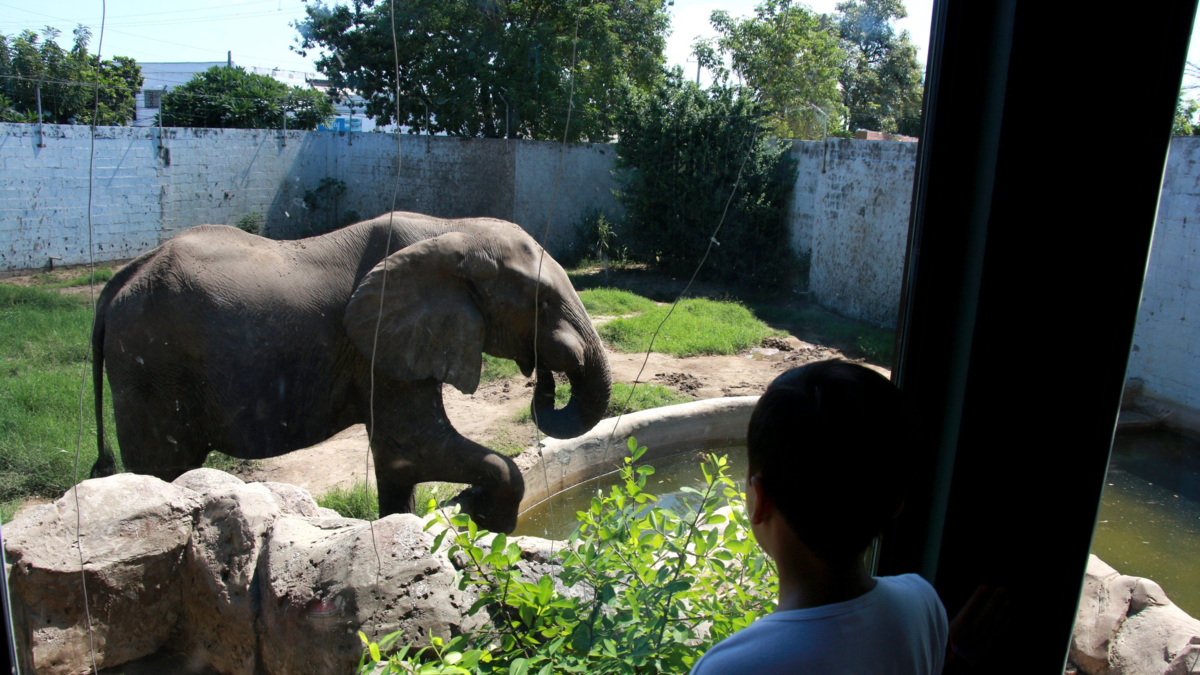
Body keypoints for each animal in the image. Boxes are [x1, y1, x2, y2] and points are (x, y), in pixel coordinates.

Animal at [88, 211, 612, 533]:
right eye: (542, 302)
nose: (543, 373)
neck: (453, 231)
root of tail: (118, 282)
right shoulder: (380, 343)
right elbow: (413, 447)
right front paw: (483, 515)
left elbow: (399, 466)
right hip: (151, 368)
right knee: (162, 469)